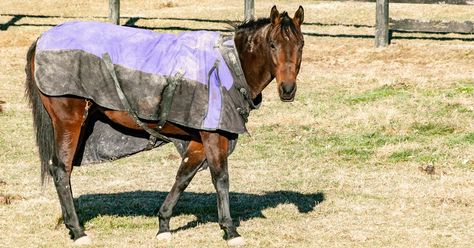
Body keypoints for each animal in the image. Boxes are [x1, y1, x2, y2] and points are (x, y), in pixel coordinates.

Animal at [25, 4, 304, 245]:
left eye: (300, 44)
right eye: (272, 44)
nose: (287, 90)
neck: (229, 65)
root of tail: (42, 39)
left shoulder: (197, 141)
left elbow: (183, 177)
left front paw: (163, 225)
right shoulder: (214, 135)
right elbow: (220, 178)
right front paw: (230, 229)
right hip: (69, 122)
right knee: (61, 170)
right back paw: (78, 230)